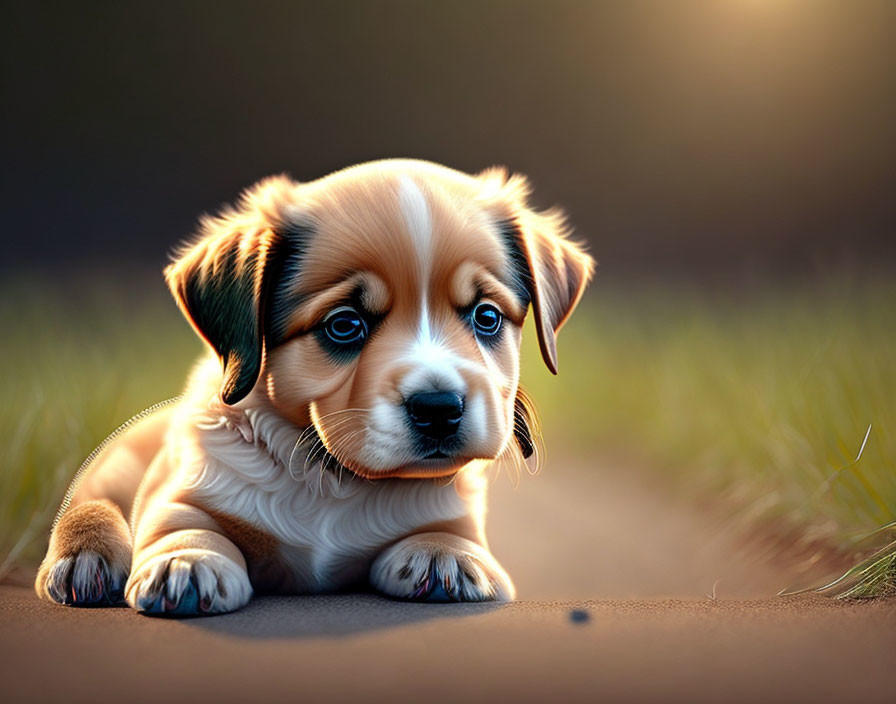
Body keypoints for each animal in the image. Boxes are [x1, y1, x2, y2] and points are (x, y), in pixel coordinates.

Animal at [36, 161, 596, 616]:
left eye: (487, 317)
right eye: (344, 325)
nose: (440, 408)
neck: (331, 479)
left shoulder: (459, 513)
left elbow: (449, 531)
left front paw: (446, 556)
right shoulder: (177, 491)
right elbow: (180, 522)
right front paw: (186, 562)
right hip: (111, 466)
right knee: (84, 505)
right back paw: (86, 558)